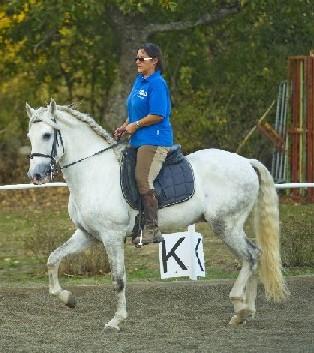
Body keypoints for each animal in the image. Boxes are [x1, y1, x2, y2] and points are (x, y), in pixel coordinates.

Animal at [26, 99, 288, 330]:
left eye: (47, 135)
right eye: (30, 136)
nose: (36, 175)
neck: (93, 172)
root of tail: (246, 162)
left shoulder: (111, 237)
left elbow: (118, 279)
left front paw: (116, 321)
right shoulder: (87, 235)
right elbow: (53, 259)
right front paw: (67, 298)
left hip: (226, 225)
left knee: (251, 256)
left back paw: (240, 307)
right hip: (230, 226)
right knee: (255, 255)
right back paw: (245, 312)